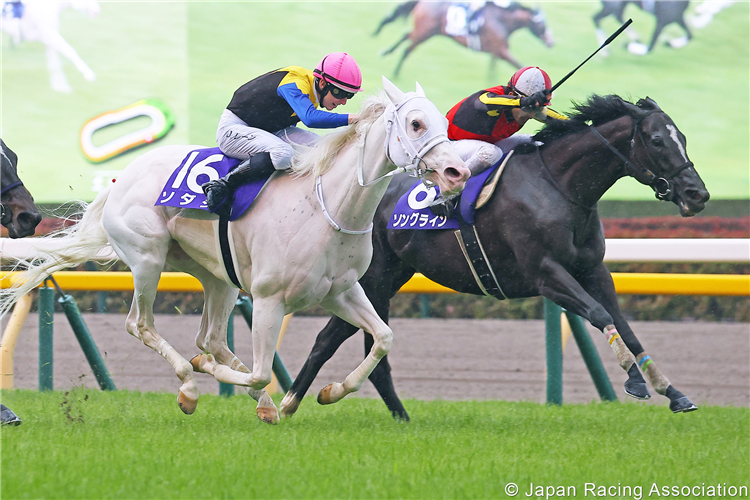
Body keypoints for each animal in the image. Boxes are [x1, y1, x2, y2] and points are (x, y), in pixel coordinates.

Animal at [0, 80, 470, 424]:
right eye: (415, 123)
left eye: (442, 122)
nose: (457, 172)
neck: (329, 206)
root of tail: (120, 179)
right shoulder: (268, 298)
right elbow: (260, 369)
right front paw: (213, 376)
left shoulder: (342, 291)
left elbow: (383, 338)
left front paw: (330, 392)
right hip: (148, 259)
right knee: (142, 324)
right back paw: (190, 386)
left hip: (217, 276)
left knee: (209, 337)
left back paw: (260, 403)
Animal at [280, 94, 712, 422]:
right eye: (656, 140)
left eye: (682, 137)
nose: (698, 194)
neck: (559, 186)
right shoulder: (546, 274)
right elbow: (600, 314)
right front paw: (635, 381)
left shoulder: (592, 270)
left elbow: (625, 325)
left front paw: (672, 391)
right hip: (373, 279)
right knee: (330, 339)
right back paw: (288, 404)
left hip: (389, 278)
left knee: (354, 342)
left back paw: (389, 414)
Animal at [374, 0, 552, 77]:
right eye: (541, 24)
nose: (551, 42)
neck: (502, 19)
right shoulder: (502, 51)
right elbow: (519, 65)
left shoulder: (496, 52)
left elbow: (493, 69)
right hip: (425, 32)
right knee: (407, 49)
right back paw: (395, 74)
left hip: (429, 32)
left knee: (406, 36)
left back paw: (385, 52)